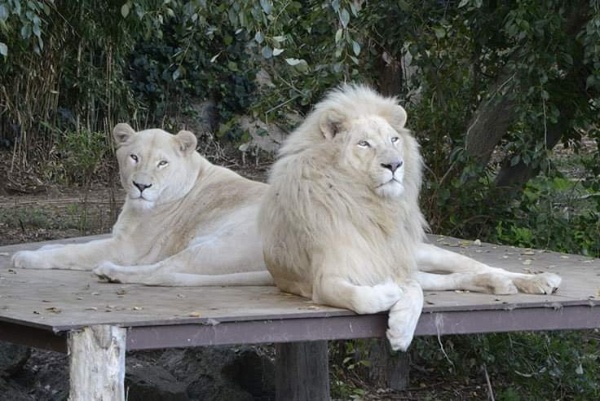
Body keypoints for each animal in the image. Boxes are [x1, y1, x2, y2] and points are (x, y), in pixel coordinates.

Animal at [11, 123, 272, 286]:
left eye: (162, 163)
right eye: (134, 157)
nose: (141, 185)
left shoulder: (126, 248)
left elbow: (74, 251)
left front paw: (25, 256)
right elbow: (72, 244)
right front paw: (43, 248)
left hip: (219, 247)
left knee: (161, 272)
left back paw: (109, 272)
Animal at [258, 84, 564, 350]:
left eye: (394, 139)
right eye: (364, 144)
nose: (395, 164)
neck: (370, 204)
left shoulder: (394, 263)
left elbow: (413, 287)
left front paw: (401, 327)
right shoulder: (325, 280)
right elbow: (363, 298)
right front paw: (391, 297)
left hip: (425, 252)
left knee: (479, 266)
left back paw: (538, 280)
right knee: (455, 278)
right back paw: (497, 284)